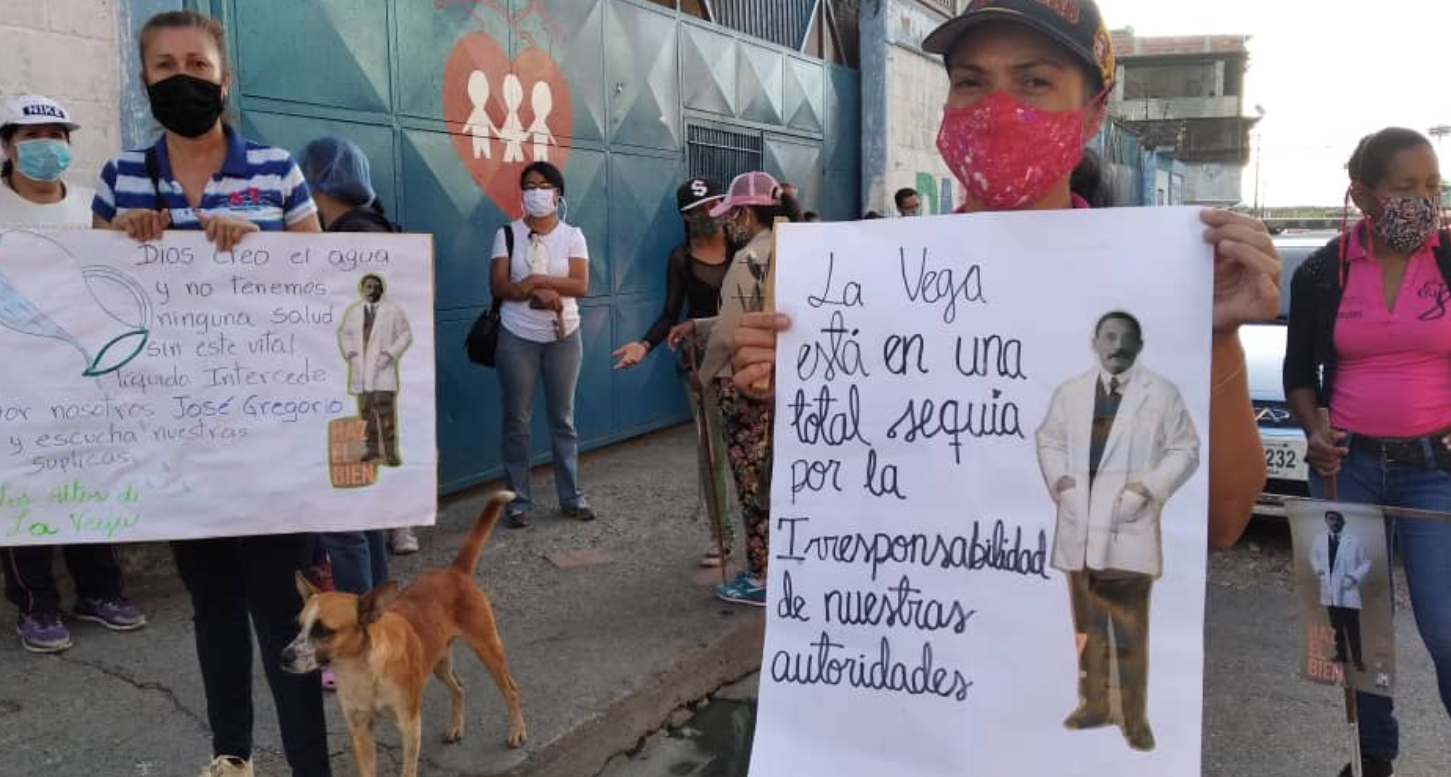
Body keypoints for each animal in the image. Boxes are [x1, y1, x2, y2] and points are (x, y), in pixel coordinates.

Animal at [280, 496, 525, 772]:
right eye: (299, 625)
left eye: (324, 630)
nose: (283, 657)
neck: (361, 669)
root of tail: (454, 571)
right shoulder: (360, 730)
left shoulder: (410, 726)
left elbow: (408, 769)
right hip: (438, 660)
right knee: (459, 687)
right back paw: (455, 727)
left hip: (487, 647)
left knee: (511, 689)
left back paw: (517, 732)